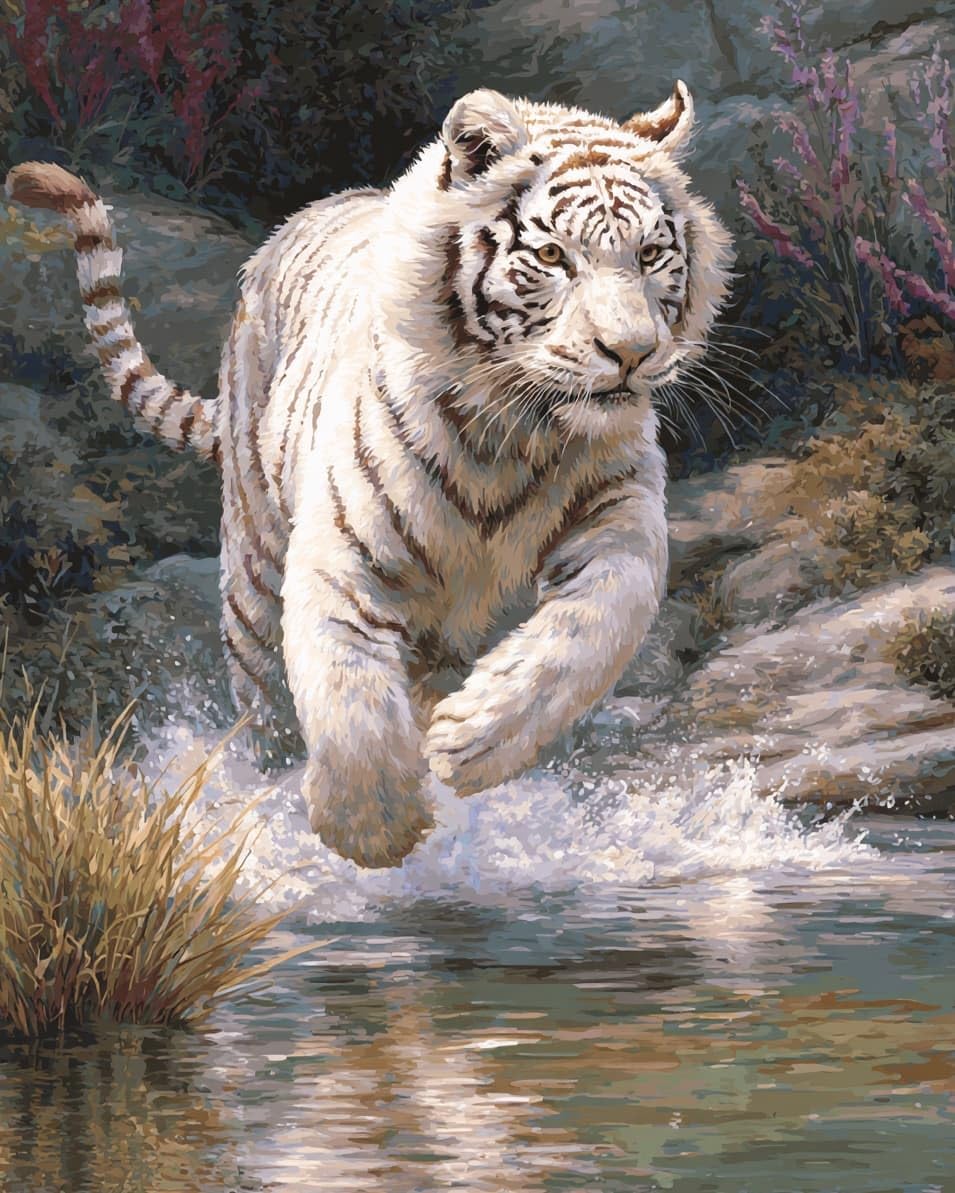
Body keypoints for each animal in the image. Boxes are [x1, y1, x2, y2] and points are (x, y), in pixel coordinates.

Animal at [7, 82, 732, 868]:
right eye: (551, 254)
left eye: (651, 254)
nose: (631, 352)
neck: (514, 430)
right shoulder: (341, 552)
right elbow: (344, 689)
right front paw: (372, 829)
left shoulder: (620, 514)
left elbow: (590, 632)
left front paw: (469, 744)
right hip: (254, 571)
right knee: (265, 707)